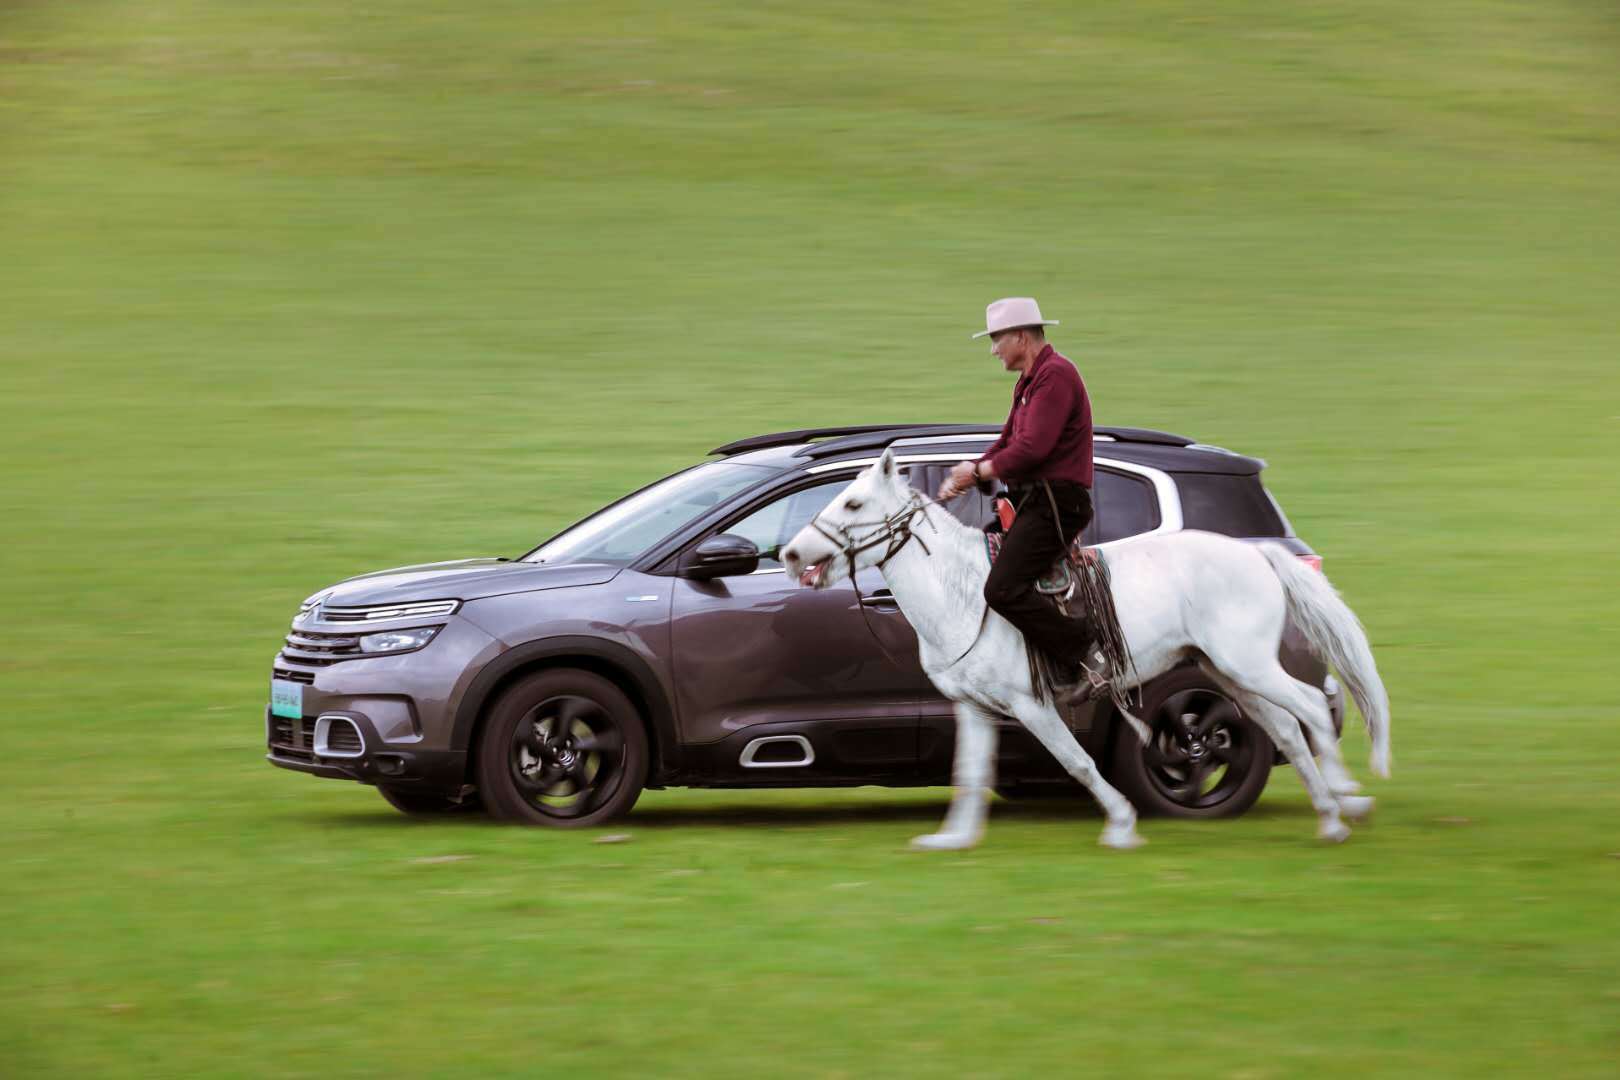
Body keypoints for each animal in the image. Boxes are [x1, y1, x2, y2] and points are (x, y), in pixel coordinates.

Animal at [777, 446, 1386, 854]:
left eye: (853, 502)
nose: (789, 553)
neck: (960, 591)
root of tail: (1260, 552)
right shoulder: (974, 706)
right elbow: (970, 769)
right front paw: (954, 838)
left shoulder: (1030, 703)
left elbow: (1076, 760)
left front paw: (1120, 824)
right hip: (1227, 671)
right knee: (1285, 729)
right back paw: (1329, 816)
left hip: (1249, 665)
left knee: (1311, 708)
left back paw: (1347, 800)